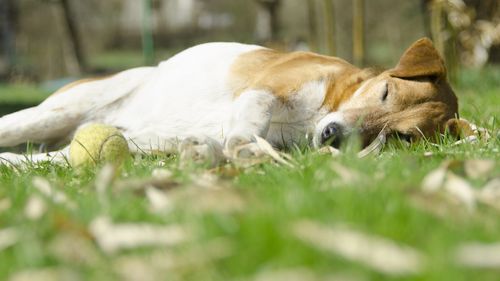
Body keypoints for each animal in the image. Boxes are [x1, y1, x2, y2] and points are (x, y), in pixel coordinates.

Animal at [0, 37, 468, 164]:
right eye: (385, 92)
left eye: (402, 137)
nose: (334, 136)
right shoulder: (264, 90)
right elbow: (249, 124)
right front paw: (243, 146)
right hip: (55, 113)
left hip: (121, 144)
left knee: (45, 161)